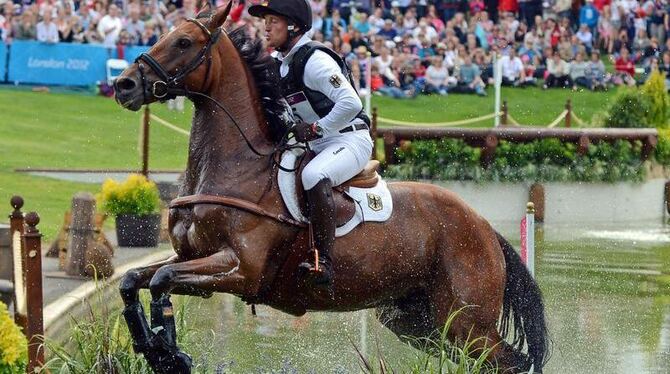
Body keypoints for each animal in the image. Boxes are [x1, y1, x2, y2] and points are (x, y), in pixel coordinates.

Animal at [113, 3, 548, 374]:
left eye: (184, 42)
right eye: (164, 33)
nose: (123, 84)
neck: (238, 166)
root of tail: (484, 227)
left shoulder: (240, 269)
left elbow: (161, 279)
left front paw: (168, 353)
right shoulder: (192, 259)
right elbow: (134, 281)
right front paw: (154, 348)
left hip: (467, 323)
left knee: (509, 361)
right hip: (420, 322)